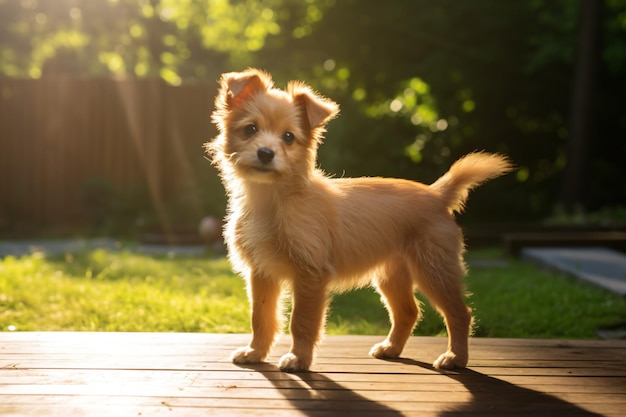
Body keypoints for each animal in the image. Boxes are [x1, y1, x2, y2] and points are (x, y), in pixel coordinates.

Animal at [206, 70, 512, 372]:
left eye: (289, 137)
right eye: (250, 129)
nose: (266, 153)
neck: (272, 198)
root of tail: (437, 193)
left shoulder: (310, 274)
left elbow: (301, 322)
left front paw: (298, 359)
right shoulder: (262, 273)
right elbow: (261, 317)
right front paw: (255, 353)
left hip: (434, 269)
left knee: (460, 312)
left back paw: (455, 358)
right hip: (392, 274)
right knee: (408, 312)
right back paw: (391, 349)